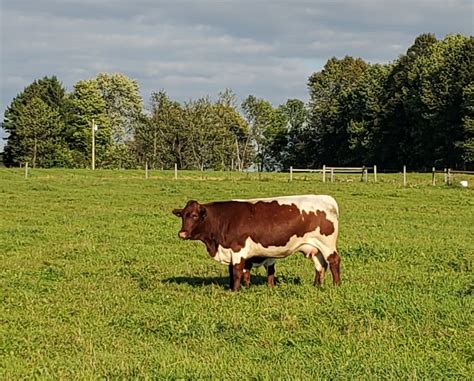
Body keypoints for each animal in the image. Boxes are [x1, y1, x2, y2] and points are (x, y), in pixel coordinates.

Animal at [172, 194, 338, 290]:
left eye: (194, 215)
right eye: (183, 215)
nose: (182, 233)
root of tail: (327, 198)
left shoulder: (238, 248)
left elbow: (237, 271)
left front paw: (235, 291)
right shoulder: (230, 251)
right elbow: (232, 272)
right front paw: (233, 288)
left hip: (327, 244)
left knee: (334, 261)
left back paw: (336, 285)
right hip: (314, 247)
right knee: (320, 265)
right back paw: (317, 286)